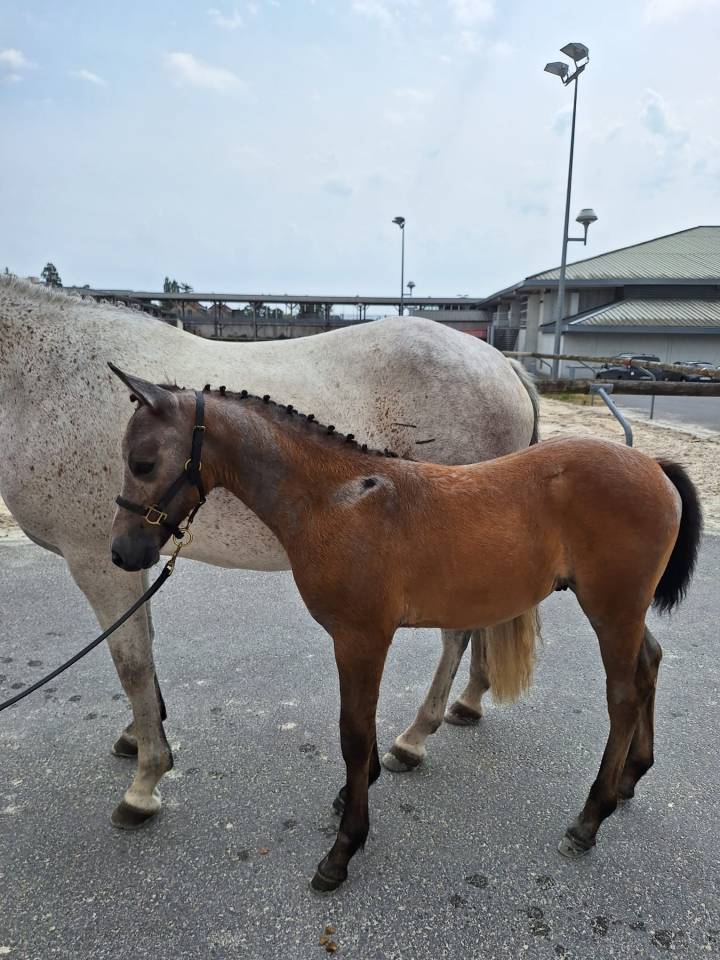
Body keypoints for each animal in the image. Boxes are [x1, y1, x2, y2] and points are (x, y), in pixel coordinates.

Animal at [0, 276, 538, 827]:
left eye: (143, 463)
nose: (124, 547)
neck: (43, 383)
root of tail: (503, 365)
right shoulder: (128, 561)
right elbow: (143, 646)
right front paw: (140, 738)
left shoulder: (95, 560)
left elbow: (131, 663)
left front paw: (145, 782)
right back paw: (467, 703)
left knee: (457, 634)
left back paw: (413, 739)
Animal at [109, 371, 701, 892]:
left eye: (143, 462)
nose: (122, 553)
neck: (336, 497)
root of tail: (652, 464)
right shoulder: (363, 641)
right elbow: (362, 731)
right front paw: (354, 794)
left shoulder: (360, 638)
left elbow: (353, 734)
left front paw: (343, 849)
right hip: (623, 612)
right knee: (649, 665)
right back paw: (630, 778)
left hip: (612, 610)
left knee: (623, 696)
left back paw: (589, 819)